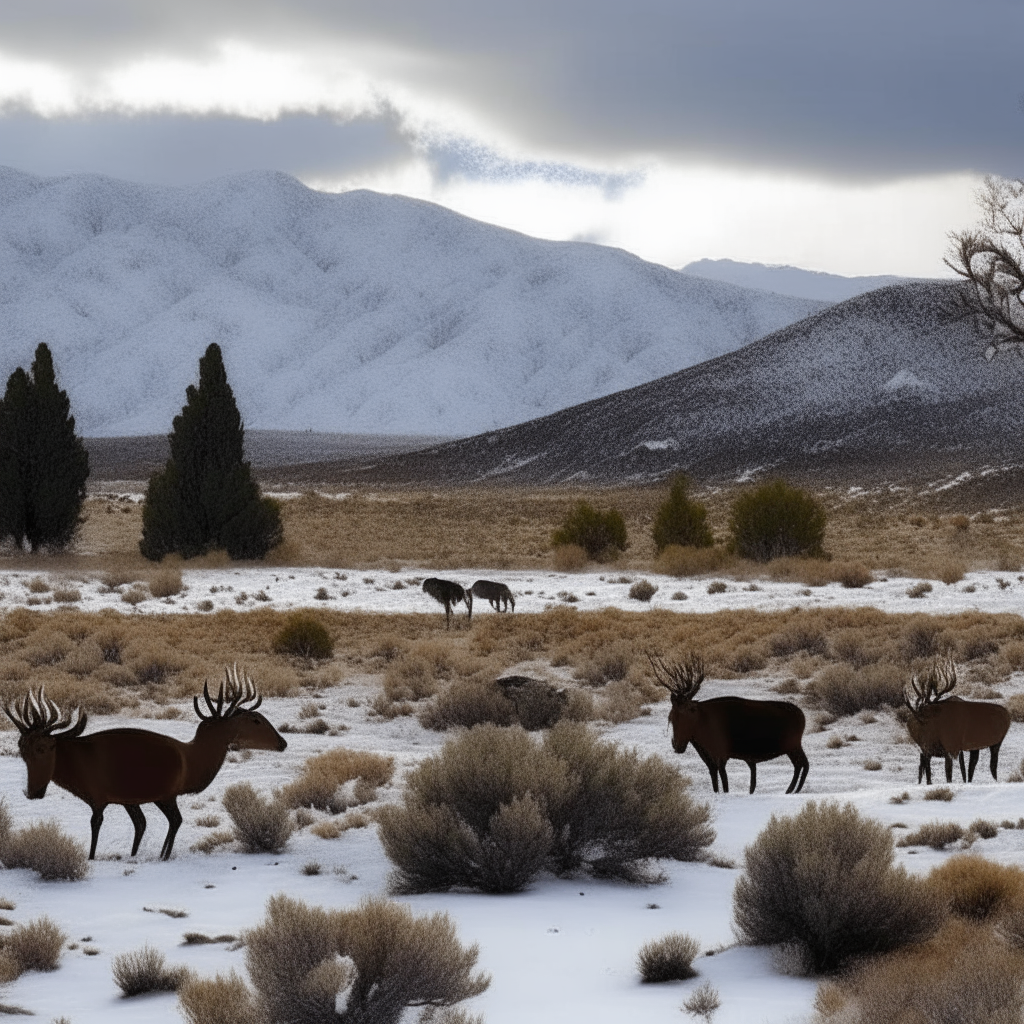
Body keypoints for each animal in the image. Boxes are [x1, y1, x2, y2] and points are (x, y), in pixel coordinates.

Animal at [6, 667, 286, 860]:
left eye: (43, 747)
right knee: (159, 822)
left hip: (162, 796)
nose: (33, 791)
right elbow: (139, 825)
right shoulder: (129, 798)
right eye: (22, 749)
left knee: (175, 821)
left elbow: (97, 827)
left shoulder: (103, 798)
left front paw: (92, 858)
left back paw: (163, 855)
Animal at [647, 651, 806, 794]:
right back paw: (792, 789)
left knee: (803, 764)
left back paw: (791, 790)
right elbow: (715, 784)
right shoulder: (708, 758)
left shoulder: (721, 755)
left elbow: (724, 784)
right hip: (793, 746)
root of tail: (803, 716)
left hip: (793, 744)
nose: (678, 745)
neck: (700, 738)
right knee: (801, 764)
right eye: (671, 715)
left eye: (691, 709)